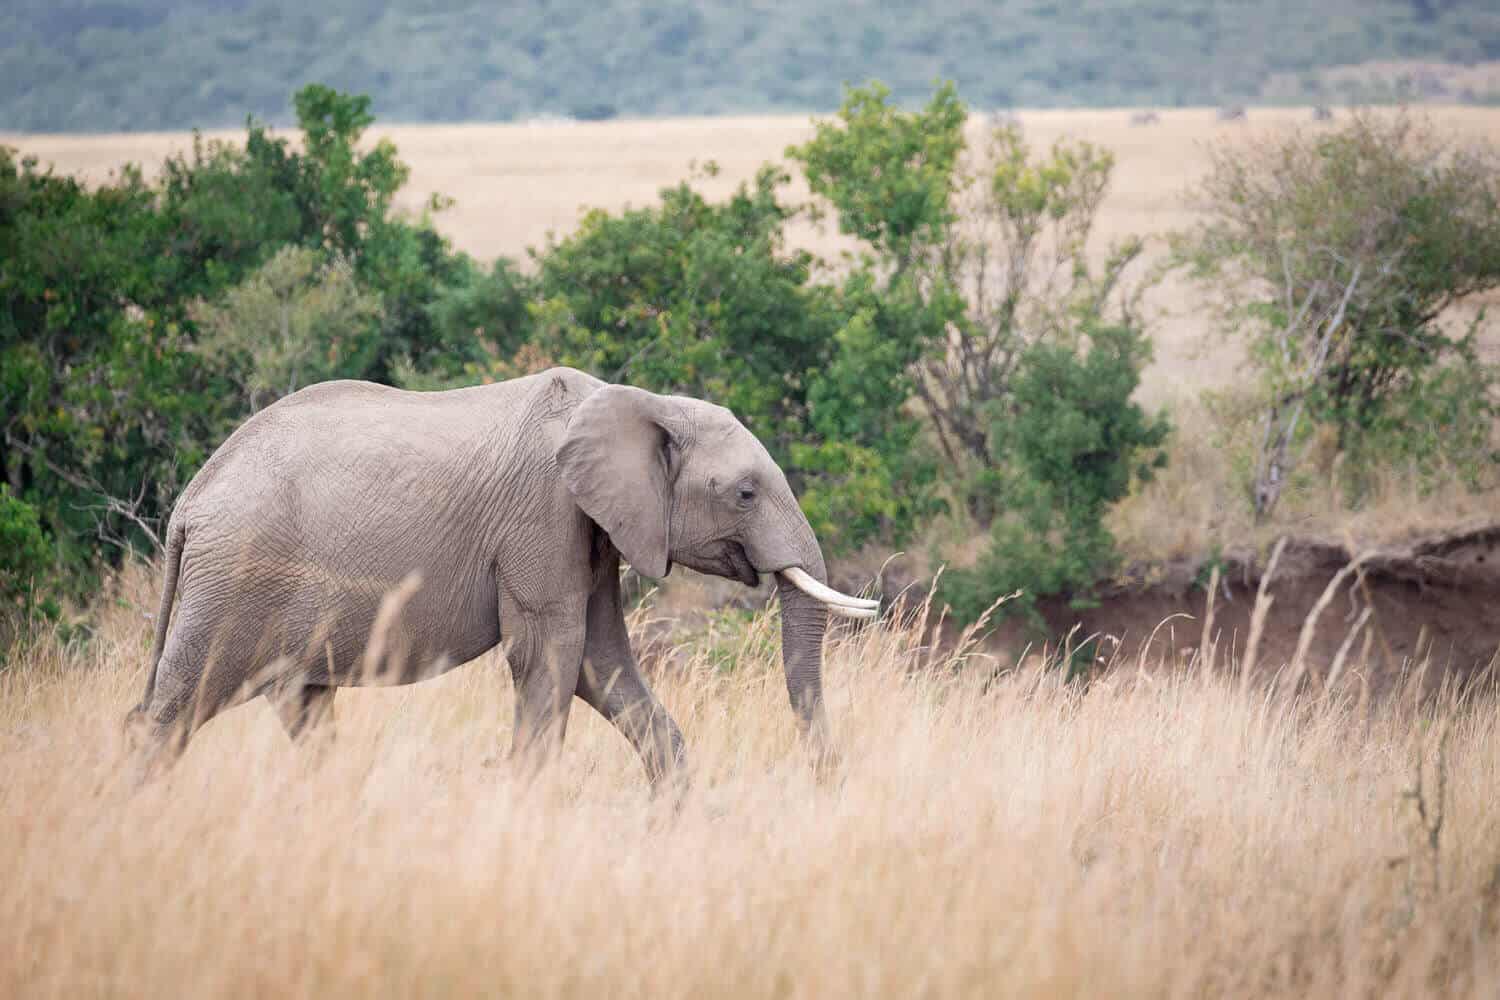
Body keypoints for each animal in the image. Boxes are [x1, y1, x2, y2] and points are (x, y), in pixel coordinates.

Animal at [125, 367, 877, 785]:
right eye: (746, 493)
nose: (828, 782)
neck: (636, 402)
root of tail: (188, 505)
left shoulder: (592, 528)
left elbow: (600, 660)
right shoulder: (542, 514)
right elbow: (551, 653)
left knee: (301, 704)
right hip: (234, 577)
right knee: (175, 710)